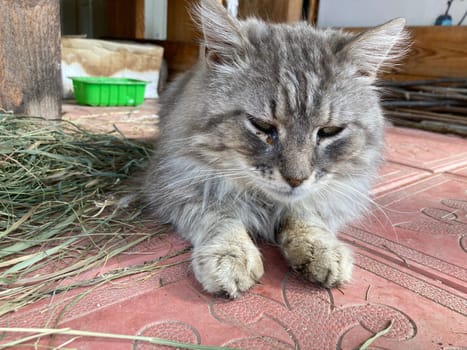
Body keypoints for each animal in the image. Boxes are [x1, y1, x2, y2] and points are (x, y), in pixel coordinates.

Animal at [144, 0, 408, 298]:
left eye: (329, 131)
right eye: (262, 126)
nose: (295, 179)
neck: (266, 202)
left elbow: (307, 216)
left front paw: (322, 251)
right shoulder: (177, 185)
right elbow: (221, 218)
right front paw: (231, 256)